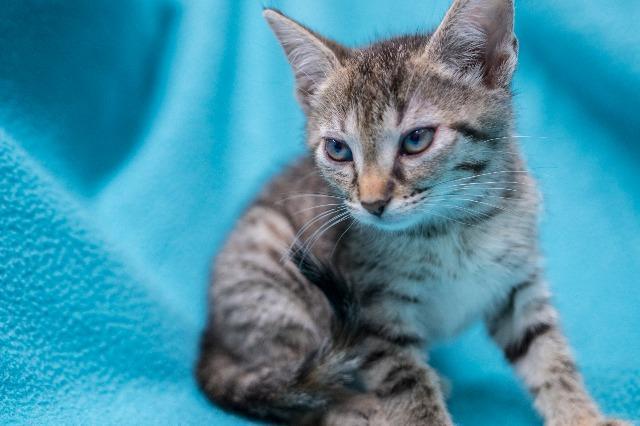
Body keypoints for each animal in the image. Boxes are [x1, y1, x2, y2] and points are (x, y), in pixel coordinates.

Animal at [194, 1, 624, 424]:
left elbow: (549, 355)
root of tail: (211, 338)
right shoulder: (376, 315)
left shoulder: (518, 283)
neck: (455, 228)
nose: (372, 203)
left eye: (417, 139)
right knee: (292, 386)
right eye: (338, 150)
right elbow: (406, 384)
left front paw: (582, 416)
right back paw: (353, 406)